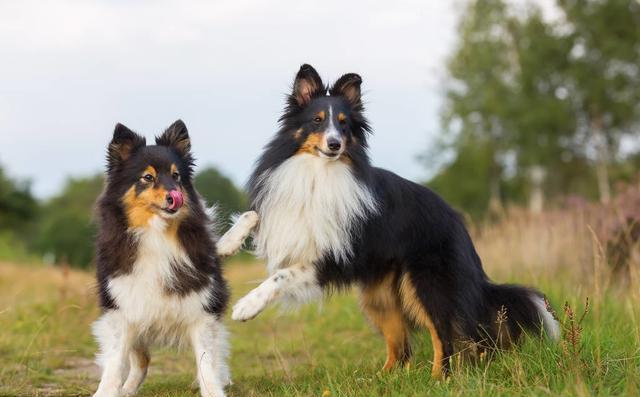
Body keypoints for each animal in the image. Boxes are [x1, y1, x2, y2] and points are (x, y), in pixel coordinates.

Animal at [92, 120, 258, 396]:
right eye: (148, 178)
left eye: (176, 176)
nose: (174, 196)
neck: (157, 234)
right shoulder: (122, 307)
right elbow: (115, 361)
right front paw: (106, 391)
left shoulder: (202, 307)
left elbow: (205, 361)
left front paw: (213, 390)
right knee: (141, 360)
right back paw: (127, 389)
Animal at [232, 65, 556, 378]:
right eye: (317, 120)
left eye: (344, 124)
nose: (335, 145)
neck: (320, 171)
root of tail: (458, 223)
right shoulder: (285, 210)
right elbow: (254, 217)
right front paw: (233, 239)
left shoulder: (333, 257)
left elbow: (282, 275)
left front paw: (246, 307)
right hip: (380, 296)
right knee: (401, 346)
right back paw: (381, 378)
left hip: (426, 282)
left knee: (444, 335)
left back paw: (438, 379)